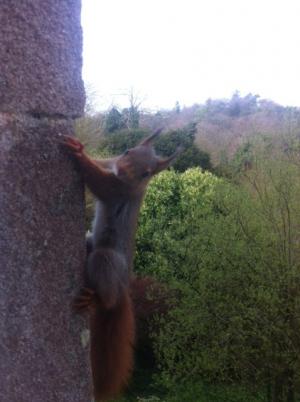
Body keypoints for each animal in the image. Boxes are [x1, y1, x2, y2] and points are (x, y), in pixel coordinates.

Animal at [61, 130, 180, 400]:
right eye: (127, 151)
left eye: (147, 172)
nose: (123, 170)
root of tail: (123, 285)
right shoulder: (111, 164)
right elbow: (102, 163)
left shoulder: (116, 190)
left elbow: (99, 181)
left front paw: (79, 153)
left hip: (106, 260)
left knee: (107, 298)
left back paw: (96, 299)